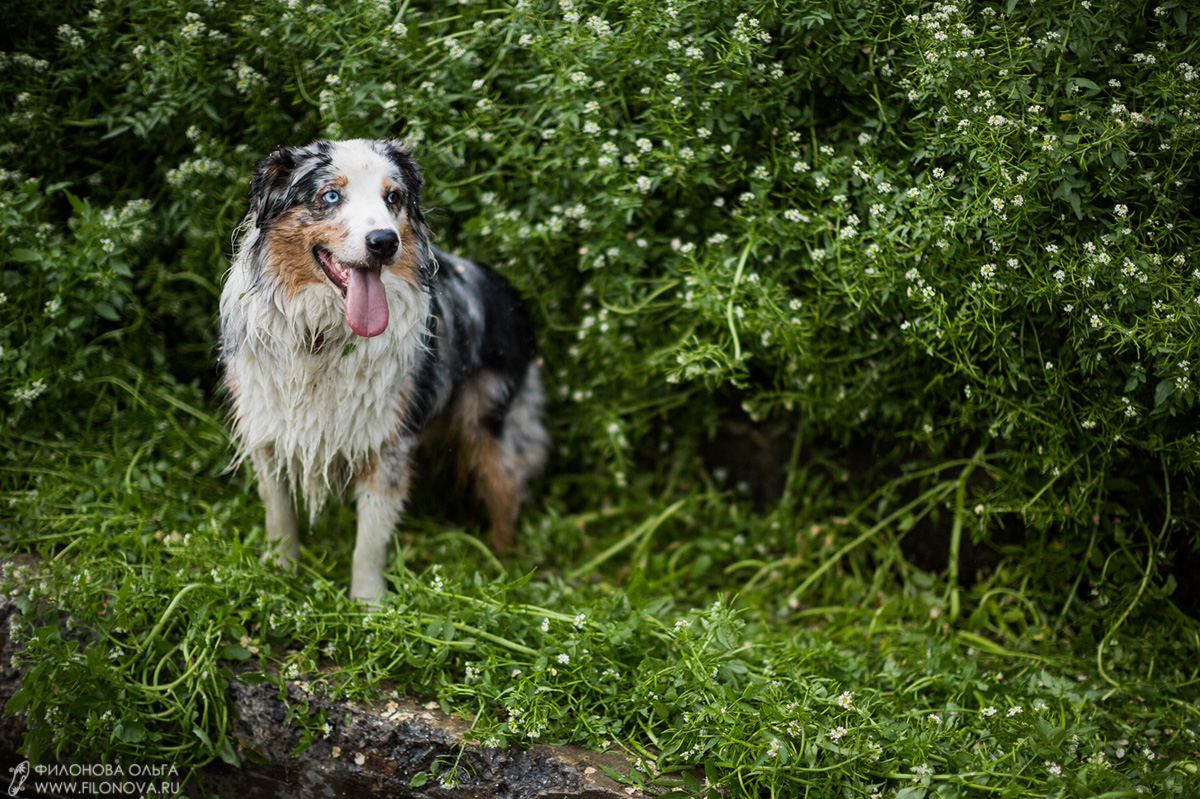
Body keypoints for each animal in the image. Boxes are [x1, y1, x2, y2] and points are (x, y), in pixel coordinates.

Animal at [220, 138, 549, 597]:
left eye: (393, 198)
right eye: (331, 196)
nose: (383, 242)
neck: (322, 335)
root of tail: (511, 292)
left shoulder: (387, 440)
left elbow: (370, 541)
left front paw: (369, 603)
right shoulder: (268, 430)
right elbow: (280, 518)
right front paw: (279, 578)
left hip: (493, 427)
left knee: (506, 491)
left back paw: (505, 572)